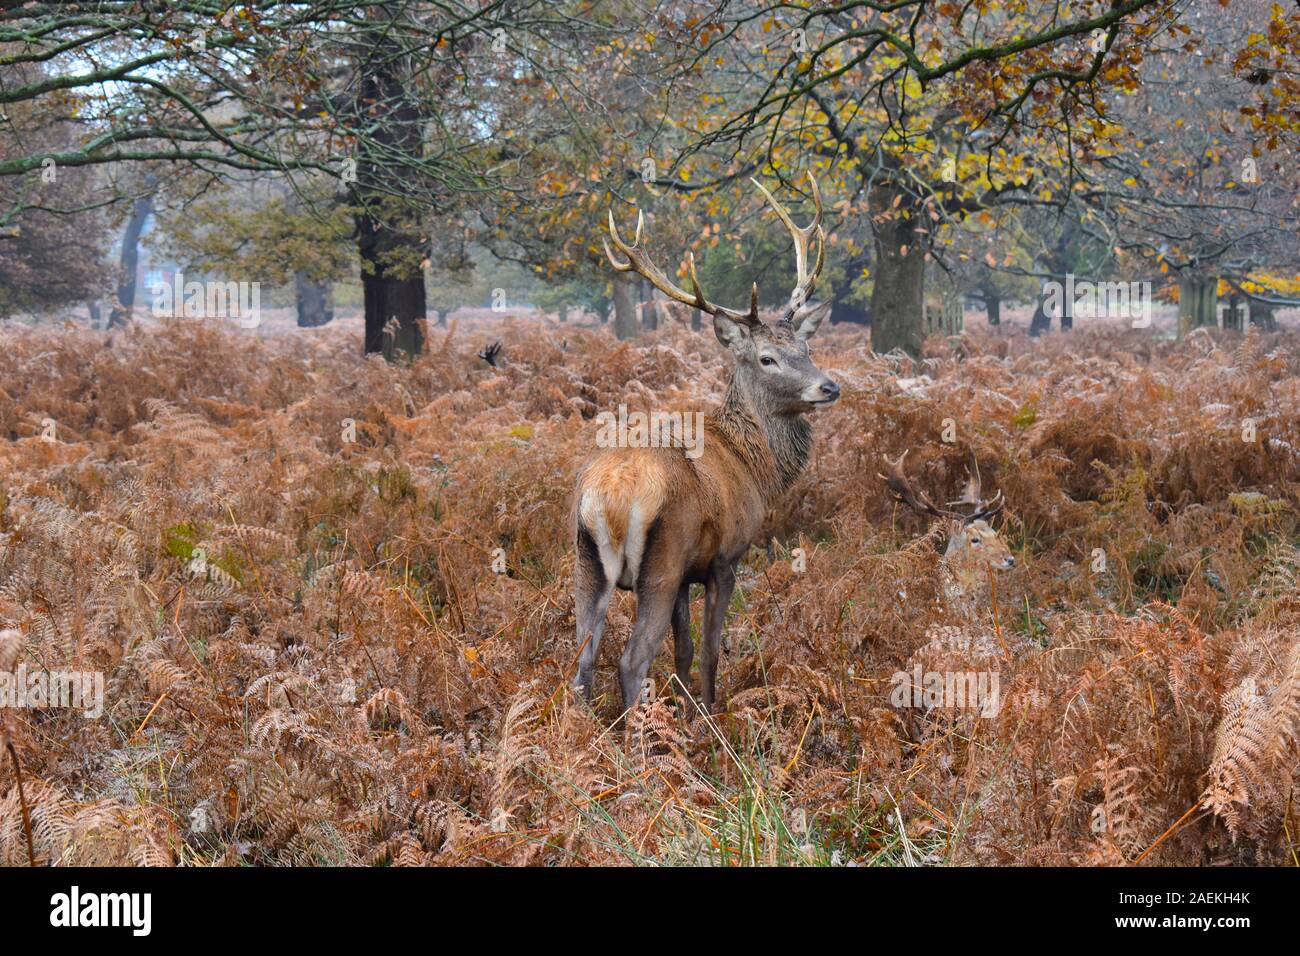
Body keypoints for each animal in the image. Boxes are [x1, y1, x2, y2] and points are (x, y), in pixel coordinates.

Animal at [571, 173, 839, 715]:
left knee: (582, 659)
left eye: (805, 348)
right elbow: (711, 649)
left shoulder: (686, 579)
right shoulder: (724, 559)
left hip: (586, 560)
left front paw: (684, 706)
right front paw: (707, 713)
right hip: (662, 559)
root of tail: (608, 495)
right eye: (766, 358)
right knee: (631, 659)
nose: (829, 387)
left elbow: (684, 647)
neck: (754, 465)